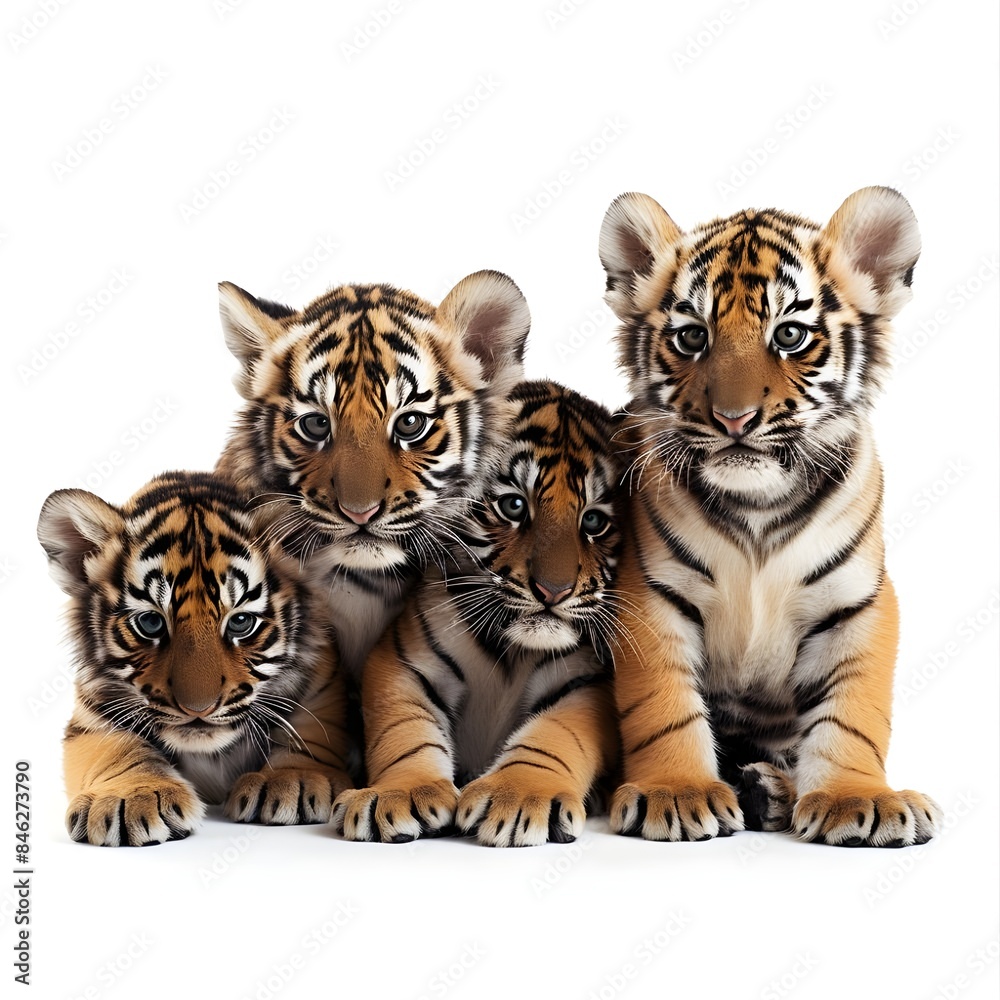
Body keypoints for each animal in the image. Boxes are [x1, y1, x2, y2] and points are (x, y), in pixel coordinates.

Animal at [37, 471, 352, 846]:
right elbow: (115, 749)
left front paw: (292, 779)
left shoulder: (322, 683)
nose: (198, 709)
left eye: (241, 622)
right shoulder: (93, 715)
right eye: (151, 622)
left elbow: (311, 728)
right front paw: (131, 795)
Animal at [331, 380, 622, 846]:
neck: (512, 650)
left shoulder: (587, 683)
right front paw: (398, 793)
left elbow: (554, 734)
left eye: (594, 521)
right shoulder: (400, 662)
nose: (553, 591)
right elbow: (405, 732)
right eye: (514, 506)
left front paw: (517, 796)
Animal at [597, 185, 943, 846]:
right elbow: (662, 704)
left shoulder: (859, 602)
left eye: (790, 335)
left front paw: (859, 798)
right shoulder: (650, 593)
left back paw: (772, 789)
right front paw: (676, 792)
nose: (734, 419)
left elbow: (853, 712)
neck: (759, 505)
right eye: (691, 337)